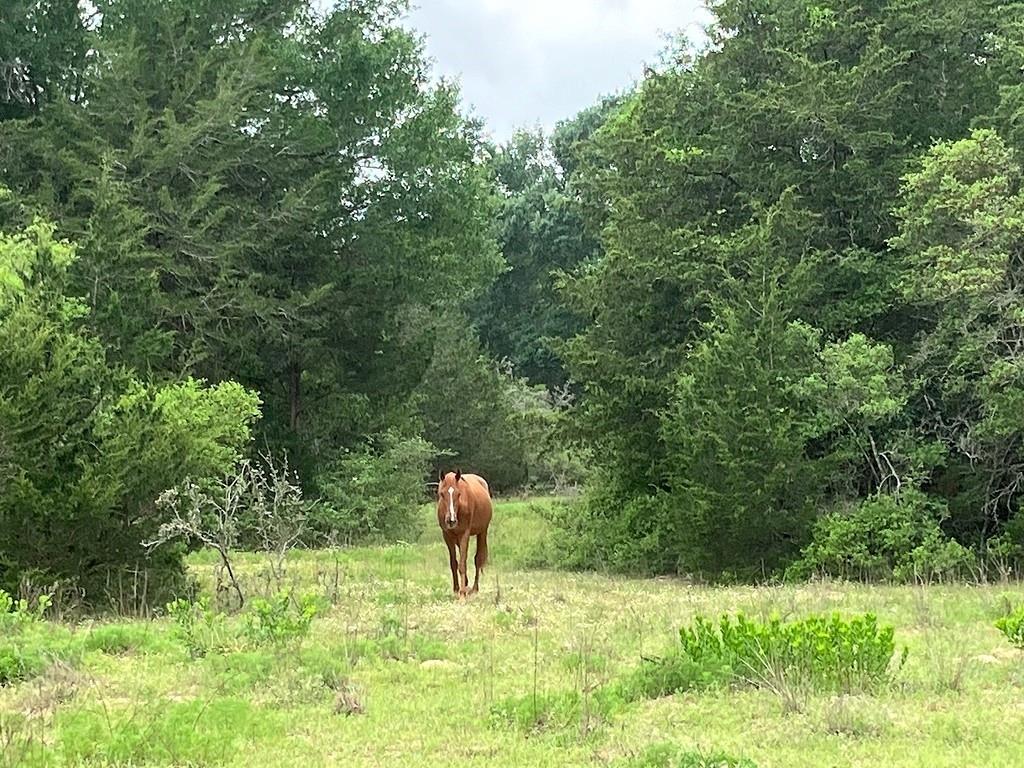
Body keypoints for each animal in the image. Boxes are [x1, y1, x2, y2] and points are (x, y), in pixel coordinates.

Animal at [436, 468, 491, 602]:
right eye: (442, 494)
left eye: (458, 494)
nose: (451, 520)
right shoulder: (447, 536)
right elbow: (454, 563)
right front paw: (456, 590)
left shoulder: (464, 534)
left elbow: (462, 564)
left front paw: (462, 594)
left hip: (482, 532)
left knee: (478, 559)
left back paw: (474, 589)